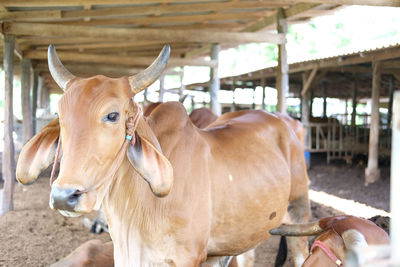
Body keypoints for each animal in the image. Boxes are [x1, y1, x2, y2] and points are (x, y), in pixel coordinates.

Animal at [16, 45, 310, 266]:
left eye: (112, 115)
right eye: (61, 116)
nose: (64, 196)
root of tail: (283, 120)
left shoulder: (186, 257)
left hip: (298, 209)